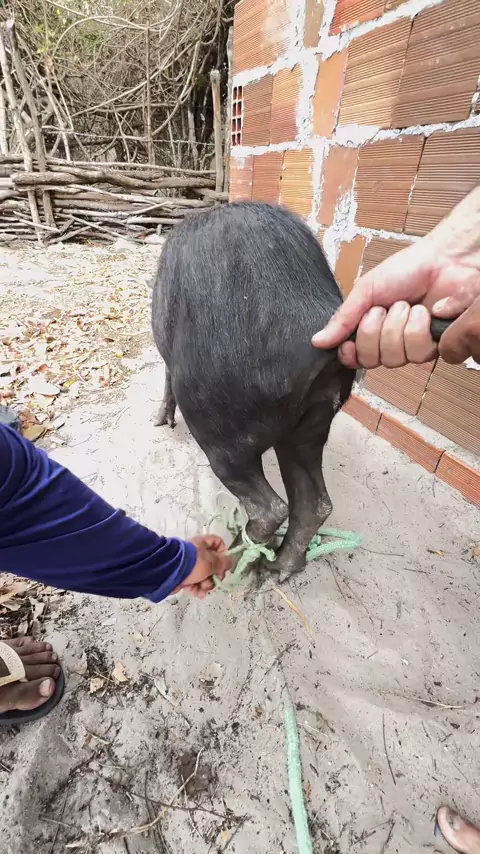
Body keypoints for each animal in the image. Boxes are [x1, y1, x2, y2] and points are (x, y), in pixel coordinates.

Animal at [151, 203, 355, 579]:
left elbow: (166, 376)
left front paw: (159, 422)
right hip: (311, 426)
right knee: (316, 503)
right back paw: (280, 569)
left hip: (222, 433)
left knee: (270, 508)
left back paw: (229, 562)